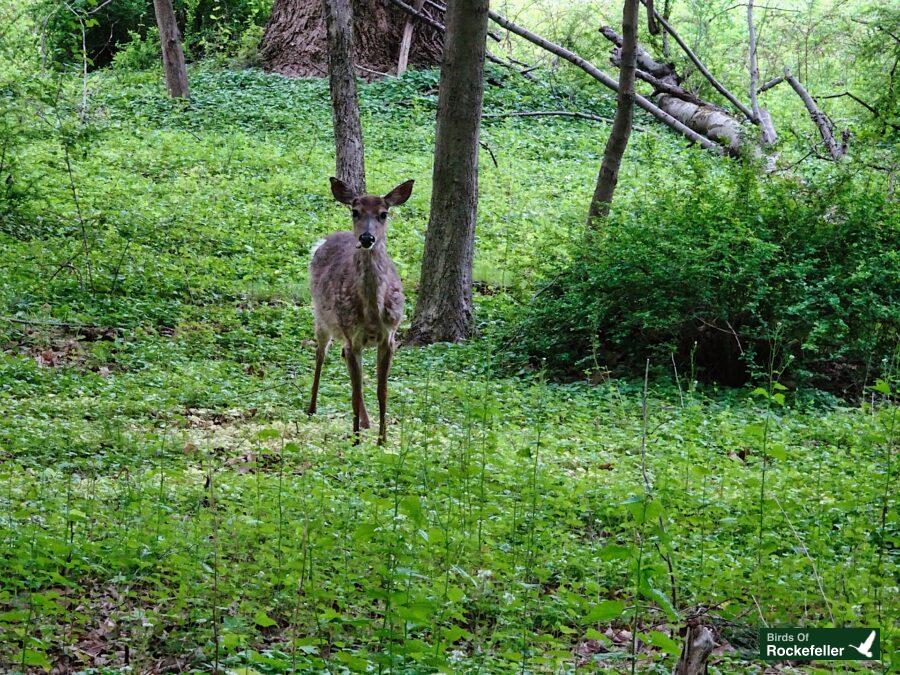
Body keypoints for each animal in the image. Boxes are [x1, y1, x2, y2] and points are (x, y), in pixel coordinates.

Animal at [304, 177, 414, 446]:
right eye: (355, 211)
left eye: (384, 213)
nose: (366, 238)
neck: (373, 313)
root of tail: (323, 241)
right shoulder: (351, 335)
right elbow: (356, 391)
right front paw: (355, 440)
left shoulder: (389, 337)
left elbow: (381, 390)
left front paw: (382, 439)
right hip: (322, 316)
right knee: (321, 354)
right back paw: (312, 407)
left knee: (343, 358)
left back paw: (365, 422)